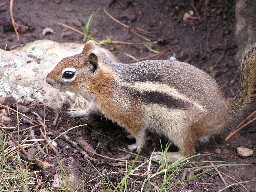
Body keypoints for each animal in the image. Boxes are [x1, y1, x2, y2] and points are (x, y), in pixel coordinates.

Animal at [46, 41, 256, 162]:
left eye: (68, 74)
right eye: (61, 60)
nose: (47, 79)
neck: (107, 84)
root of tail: (225, 110)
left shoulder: (129, 114)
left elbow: (139, 132)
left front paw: (136, 146)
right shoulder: (98, 103)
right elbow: (90, 109)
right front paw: (77, 111)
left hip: (180, 128)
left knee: (189, 153)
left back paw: (166, 157)